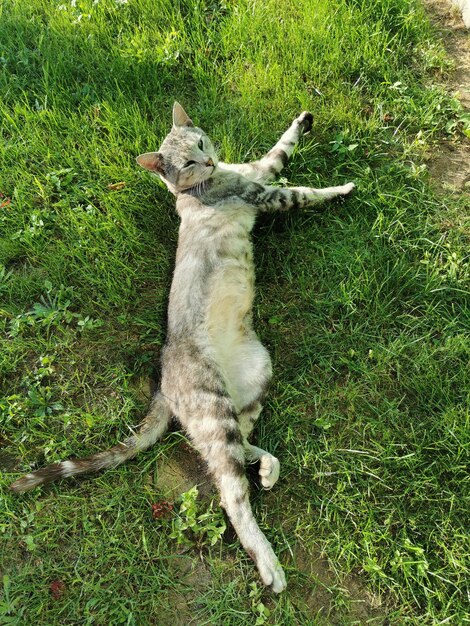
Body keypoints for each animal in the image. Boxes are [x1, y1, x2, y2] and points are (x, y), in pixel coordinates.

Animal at [9, 102, 354, 588]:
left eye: (202, 143)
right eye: (188, 163)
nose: (208, 161)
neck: (210, 182)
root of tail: (163, 387)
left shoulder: (258, 170)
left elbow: (280, 148)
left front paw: (301, 121)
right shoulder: (263, 193)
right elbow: (303, 191)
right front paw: (341, 188)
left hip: (255, 378)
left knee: (231, 448)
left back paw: (266, 466)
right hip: (213, 404)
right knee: (229, 489)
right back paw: (268, 564)